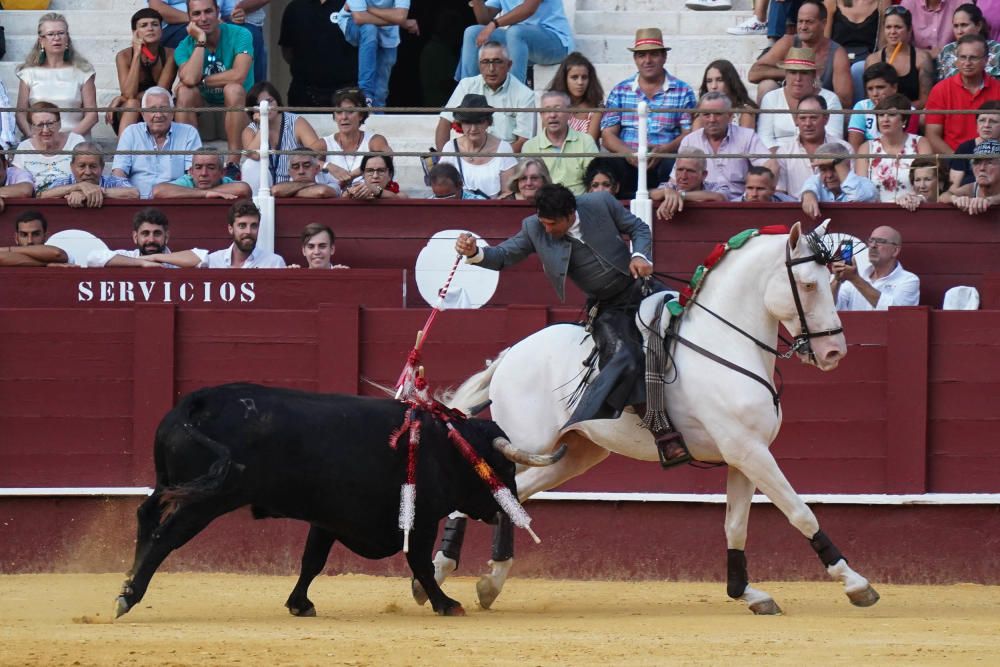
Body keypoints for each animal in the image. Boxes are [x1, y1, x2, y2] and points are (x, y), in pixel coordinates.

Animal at [118, 384, 560, 620]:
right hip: (206, 502)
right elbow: (419, 562)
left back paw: (128, 581)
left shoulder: (329, 519)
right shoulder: (417, 521)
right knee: (163, 537)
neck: (447, 445)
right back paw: (128, 596)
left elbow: (312, 560)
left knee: (145, 516)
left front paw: (299, 604)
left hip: (173, 485)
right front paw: (446, 603)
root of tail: (197, 401)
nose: (510, 507)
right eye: (503, 465)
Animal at [426, 223, 880, 616]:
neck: (725, 342)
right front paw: (857, 583)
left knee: (511, 495)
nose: (834, 352)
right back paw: (444, 572)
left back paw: (480, 579)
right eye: (808, 285)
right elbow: (800, 511)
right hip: (528, 443)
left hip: (573, 454)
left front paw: (747, 592)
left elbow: (735, 525)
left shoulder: (745, 454)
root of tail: (508, 356)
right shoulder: (748, 451)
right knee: (494, 490)